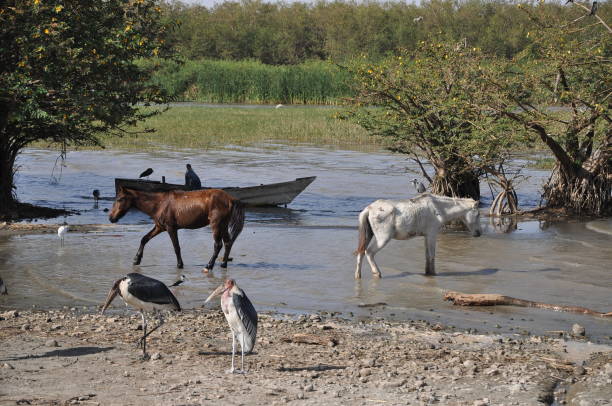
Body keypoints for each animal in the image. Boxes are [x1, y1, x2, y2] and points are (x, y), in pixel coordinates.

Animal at [109, 188, 245, 272]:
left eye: (120, 199)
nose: (111, 218)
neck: (159, 204)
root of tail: (230, 199)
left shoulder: (171, 228)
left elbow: (176, 247)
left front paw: (180, 265)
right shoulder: (159, 227)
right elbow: (144, 239)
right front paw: (136, 259)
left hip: (216, 225)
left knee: (218, 245)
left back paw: (209, 266)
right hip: (223, 225)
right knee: (228, 243)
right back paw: (223, 264)